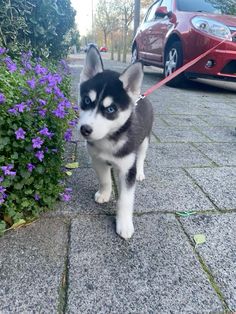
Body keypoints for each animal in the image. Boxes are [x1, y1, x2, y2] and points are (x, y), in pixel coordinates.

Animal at [79, 45, 153, 239]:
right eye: (86, 100)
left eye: (111, 109)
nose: (85, 129)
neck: (109, 140)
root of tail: (142, 96)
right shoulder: (97, 159)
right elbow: (105, 179)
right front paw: (105, 193)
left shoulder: (127, 169)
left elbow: (125, 200)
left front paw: (124, 224)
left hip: (145, 140)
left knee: (141, 157)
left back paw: (141, 172)